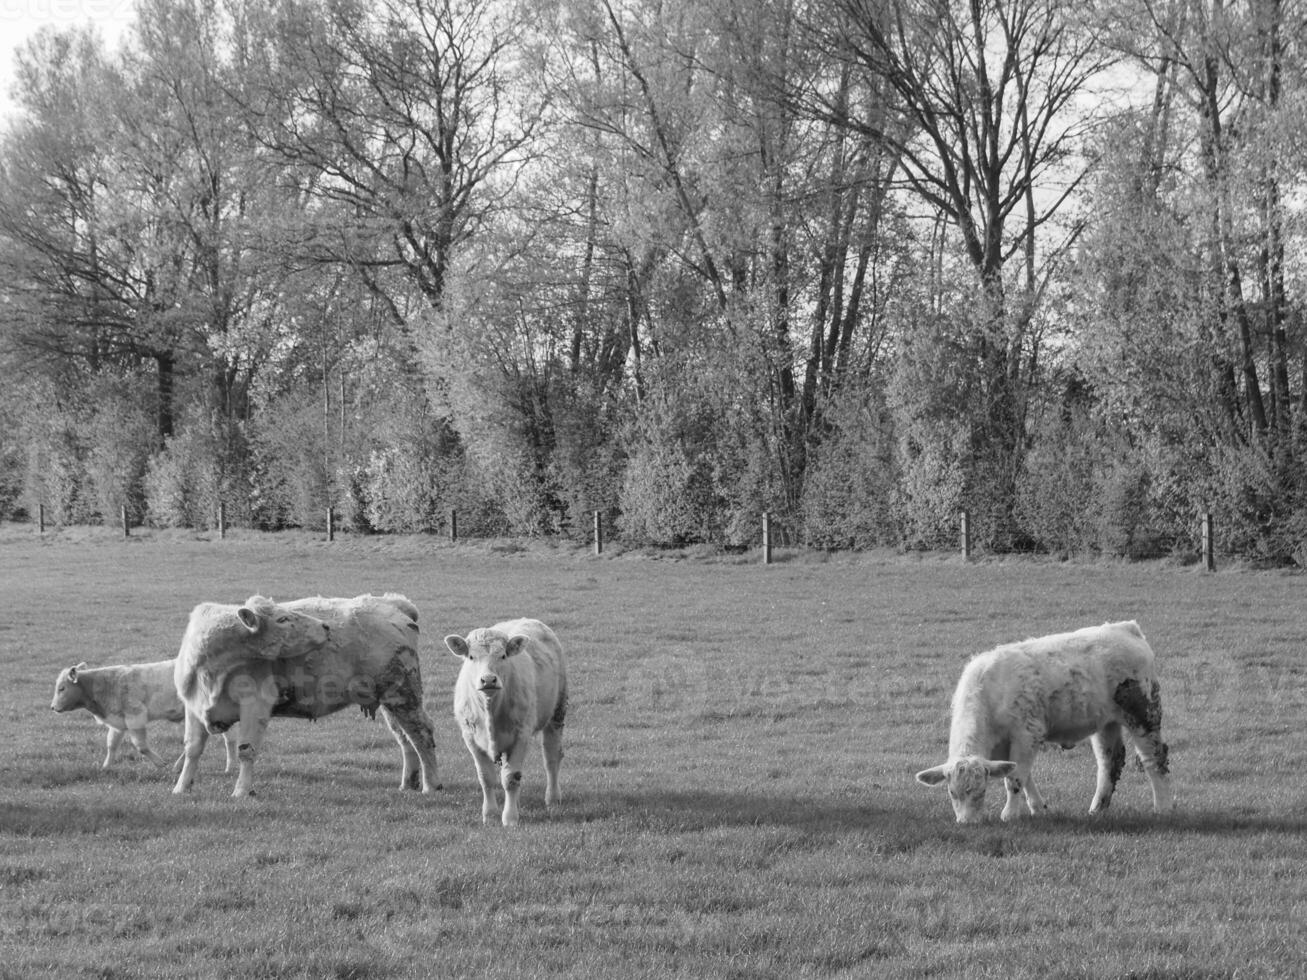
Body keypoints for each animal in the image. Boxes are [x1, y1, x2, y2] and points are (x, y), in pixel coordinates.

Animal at [49, 661, 235, 773]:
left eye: (62, 688)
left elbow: (141, 746)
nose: (52, 707)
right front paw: (105, 767)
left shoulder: (135, 716)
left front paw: (160, 763)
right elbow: (111, 745)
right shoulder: (118, 722)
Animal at [173, 590, 441, 799]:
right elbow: (192, 748)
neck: (212, 666)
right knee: (405, 738)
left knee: (422, 733)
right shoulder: (193, 707)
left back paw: (431, 785)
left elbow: (246, 750)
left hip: (404, 694)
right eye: (282, 618)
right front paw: (181, 787)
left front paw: (241, 791)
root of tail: (394, 603)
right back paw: (408, 783)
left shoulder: (255, 705)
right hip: (389, 700)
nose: (325, 626)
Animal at [444, 621, 567, 831]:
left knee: (551, 758)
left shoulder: (521, 735)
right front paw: (490, 814)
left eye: (502, 656)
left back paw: (553, 797)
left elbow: (511, 778)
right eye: (471, 656)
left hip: (557, 711)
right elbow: (486, 777)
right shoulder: (470, 738)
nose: (488, 680)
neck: (490, 708)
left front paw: (509, 818)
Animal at [914, 624, 1181, 825]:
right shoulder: (1003, 746)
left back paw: (1163, 807)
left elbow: (1015, 778)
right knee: (1110, 762)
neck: (990, 690)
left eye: (981, 791)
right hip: (1107, 723)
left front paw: (1010, 814)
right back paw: (1097, 809)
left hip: (1144, 715)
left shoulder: (1026, 734)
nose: (967, 822)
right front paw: (1037, 807)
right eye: (952, 792)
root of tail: (1126, 628)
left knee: (1154, 759)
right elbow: (1021, 774)